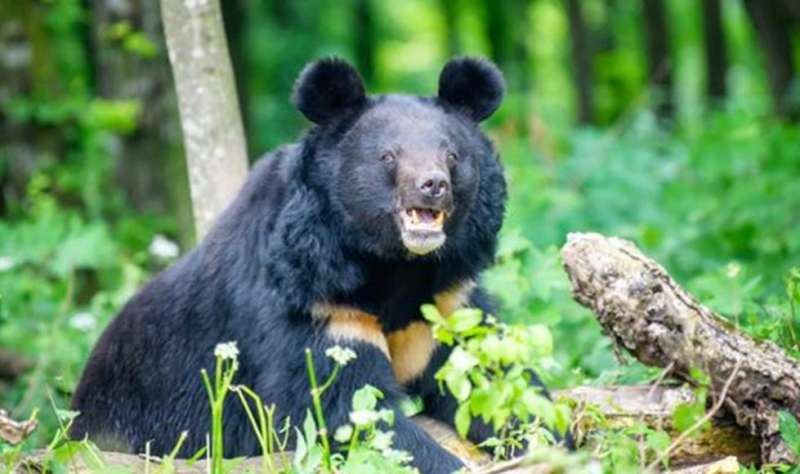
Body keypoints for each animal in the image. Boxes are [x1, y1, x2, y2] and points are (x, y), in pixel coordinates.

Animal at [70, 57, 560, 474]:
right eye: (388, 156)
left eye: (452, 156)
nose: (433, 185)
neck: (394, 265)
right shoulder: (313, 302)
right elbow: (346, 410)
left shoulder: (446, 303)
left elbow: (492, 380)